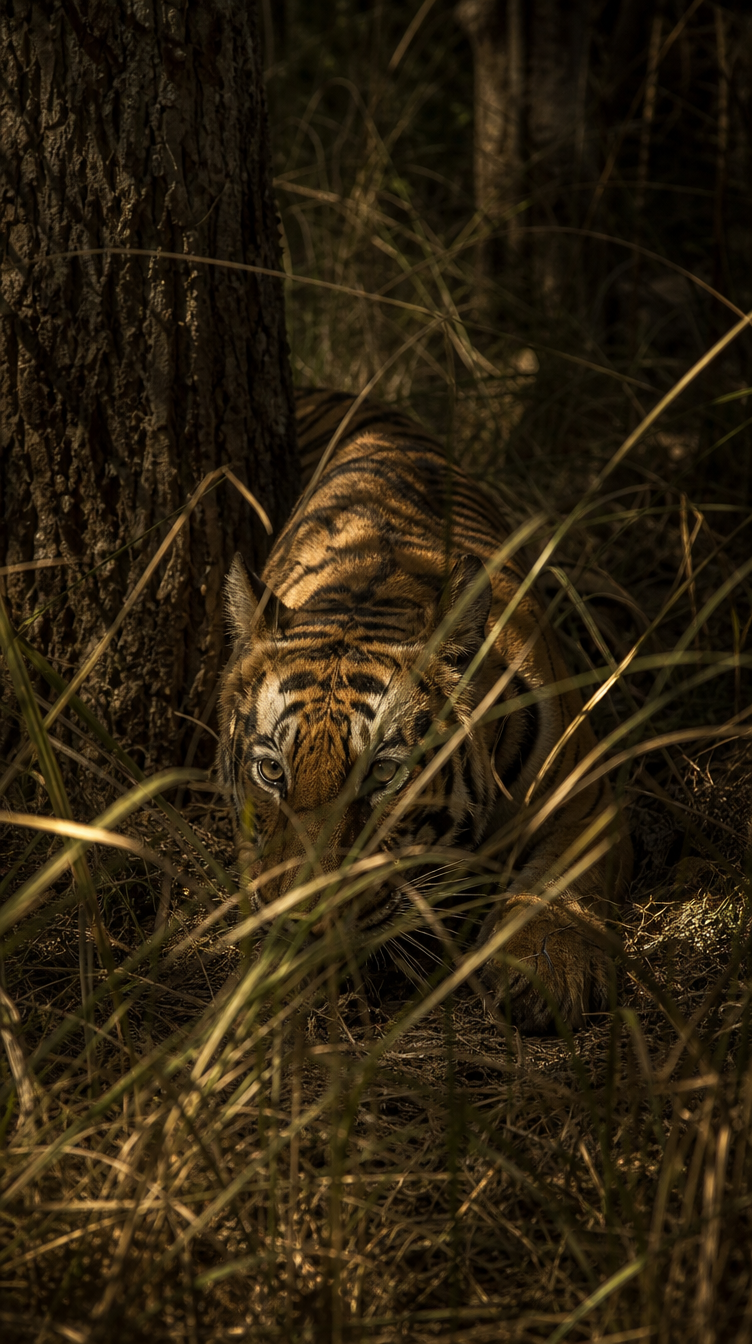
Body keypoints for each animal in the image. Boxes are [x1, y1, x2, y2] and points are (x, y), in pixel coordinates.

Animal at [217, 388, 631, 1031]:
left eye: (384, 774)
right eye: (271, 772)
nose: (302, 921)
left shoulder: (586, 796)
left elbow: (560, 881)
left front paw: (547, 968)